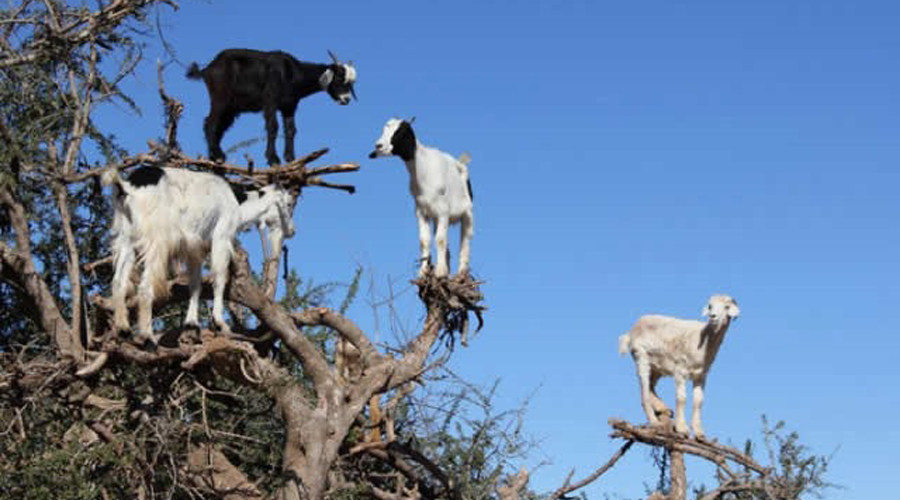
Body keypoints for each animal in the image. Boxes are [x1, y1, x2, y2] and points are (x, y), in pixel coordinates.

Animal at [103, 166, 298, 346]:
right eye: (289, 204)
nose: (291, 231)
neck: (236, 202)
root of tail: (127, 186)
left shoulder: (195, 248)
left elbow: (195, 284)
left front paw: (191, 322)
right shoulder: (221, 237)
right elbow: (219, 278)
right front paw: (220, 323)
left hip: (126, 239)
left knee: (118, 281)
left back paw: (123, 329)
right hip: (156, 239)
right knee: (144, 286)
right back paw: (148, 337)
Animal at [185, 49, 356, 166]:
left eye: (351, 83)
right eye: (339, 78)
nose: (346, 99)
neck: (292, 73)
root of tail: (208, 68)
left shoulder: (289, 106)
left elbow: (291, 130)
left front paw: (290, 158)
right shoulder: (270, 102)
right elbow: (273, 127)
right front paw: (273, 159)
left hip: (231, 108)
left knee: (218, 127)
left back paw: (214, 156)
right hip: (220, 98)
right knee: (210, 123)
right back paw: (218, 156)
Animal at [368, 119, 474, 280]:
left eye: (401, 131)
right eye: (384, 130)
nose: (378, 146)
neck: (422, 168)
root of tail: (461, 163)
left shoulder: (443, 211)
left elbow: (440, 240)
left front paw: (440, 272)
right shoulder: (421, 211)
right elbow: (425, 241)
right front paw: (424, 273)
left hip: (467, 213)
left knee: (465, 240)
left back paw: (461, 273)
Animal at [620, 292, 740, 438]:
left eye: (726, 307)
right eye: (710, 306)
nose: (713, 317)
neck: (702, 338)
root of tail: (631, 331)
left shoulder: (701, 375)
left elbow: (698, 401)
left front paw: (699, 433)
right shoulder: (680, 370)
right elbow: (681, 398)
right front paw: (682, 428)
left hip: (657, 366)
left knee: (651, 385)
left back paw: (662, 407)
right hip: (641, 356)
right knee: (644, 389)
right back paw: (654, 421)